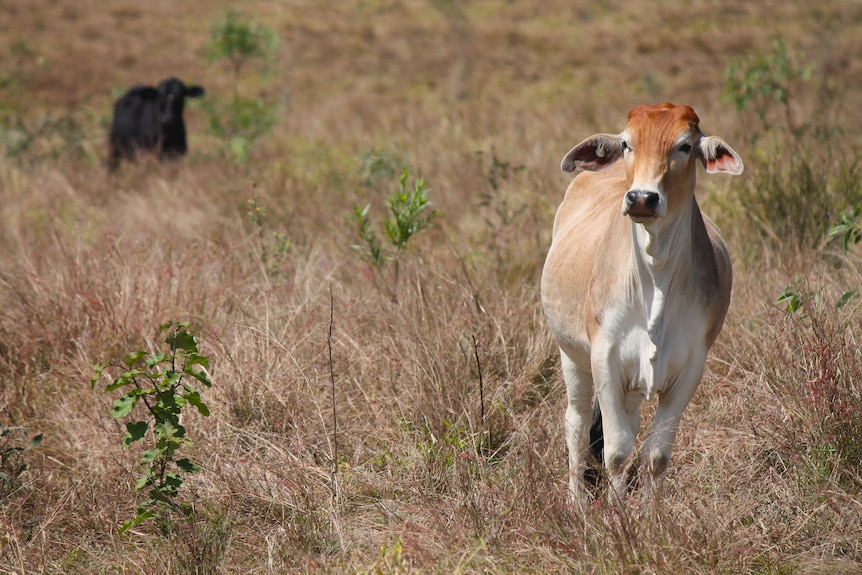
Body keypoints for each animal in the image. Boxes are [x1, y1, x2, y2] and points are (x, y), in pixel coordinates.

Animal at [544, 102, 744, 504]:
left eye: (685, 146)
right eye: (626, 143)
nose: (641, 198)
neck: (656, 276)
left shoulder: (690, 367)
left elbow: (656, 454)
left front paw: (649, 514)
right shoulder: (604, 359)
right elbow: (617, 452)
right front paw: (616, 514)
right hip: (570, 353)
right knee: (576, 423)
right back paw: (577, 501)